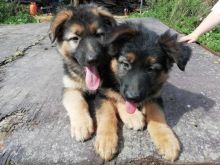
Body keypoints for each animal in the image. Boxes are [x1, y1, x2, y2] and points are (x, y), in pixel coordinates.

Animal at [49, 4, 122, 160]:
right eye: (75, 38)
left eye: (99, 35)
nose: (92, 59)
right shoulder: (70, 88)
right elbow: (77, 102)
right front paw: (81, 126)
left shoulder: (103, 91)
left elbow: (107, 113)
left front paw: (106, 141)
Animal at [102, 22, 192, 161]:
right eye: (126, 64)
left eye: (151, 69)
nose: (133, 97)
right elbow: (110, 106)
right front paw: (107, 140)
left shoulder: (155, 95)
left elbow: (157, 113)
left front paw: (167, 140)